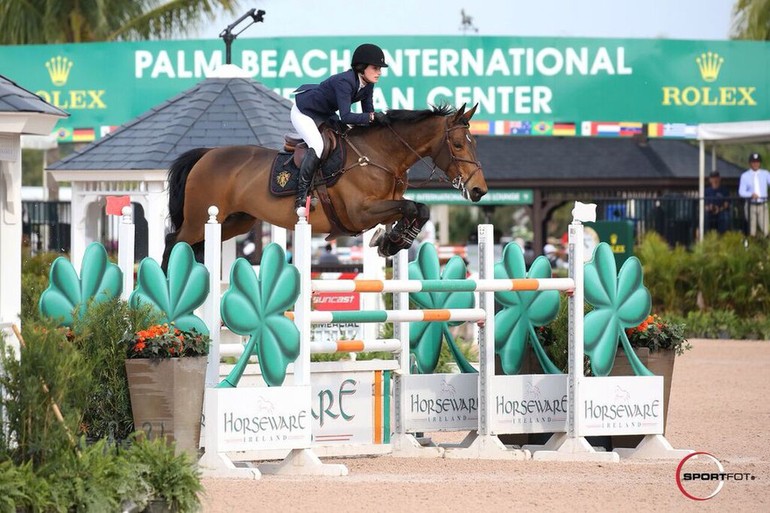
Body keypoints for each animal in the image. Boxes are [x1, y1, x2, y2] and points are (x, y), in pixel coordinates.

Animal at [160, 100, 486, 268]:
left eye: (474, 143)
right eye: (458, 144)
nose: (479, 190)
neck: (379, 156)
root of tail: (207, 154)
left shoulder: (383, 207)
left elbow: (419, 209)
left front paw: (392, 242)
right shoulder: (360, 213)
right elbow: (410, 207)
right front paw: (392, 241)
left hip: (235, 221)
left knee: (194, 244)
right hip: (200, 218)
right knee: (173, 241)